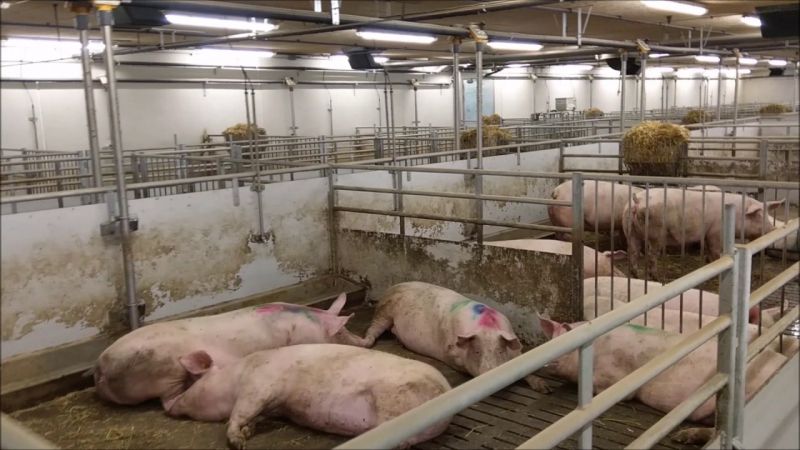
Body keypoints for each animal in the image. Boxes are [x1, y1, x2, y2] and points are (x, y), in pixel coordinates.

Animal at [166, 344, 452, 449]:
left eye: (192, 383)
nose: (167, 405)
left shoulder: (259, 386)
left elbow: (239, 413)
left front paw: (238, 442)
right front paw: (249, 432)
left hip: (395, 401)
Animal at [361, 281, 552, 393]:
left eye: (499, 351)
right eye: (476, 351)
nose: (489, 374)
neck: (487, 327)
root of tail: (394, 286)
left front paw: (545, 388)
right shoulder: (452, 352)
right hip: (384, 310)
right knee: (372, 331)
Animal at [623, 187, 784, 278]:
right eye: (759, 215)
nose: (773, 228)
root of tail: (637, 201)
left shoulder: (706, 235)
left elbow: (707, 249)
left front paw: (707, 261)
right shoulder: (716, 233)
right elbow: (715, 251)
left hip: (630, 231)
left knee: (633, 252)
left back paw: (635, 274)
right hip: (655, 233)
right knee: (651, 254)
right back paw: (655, 276)